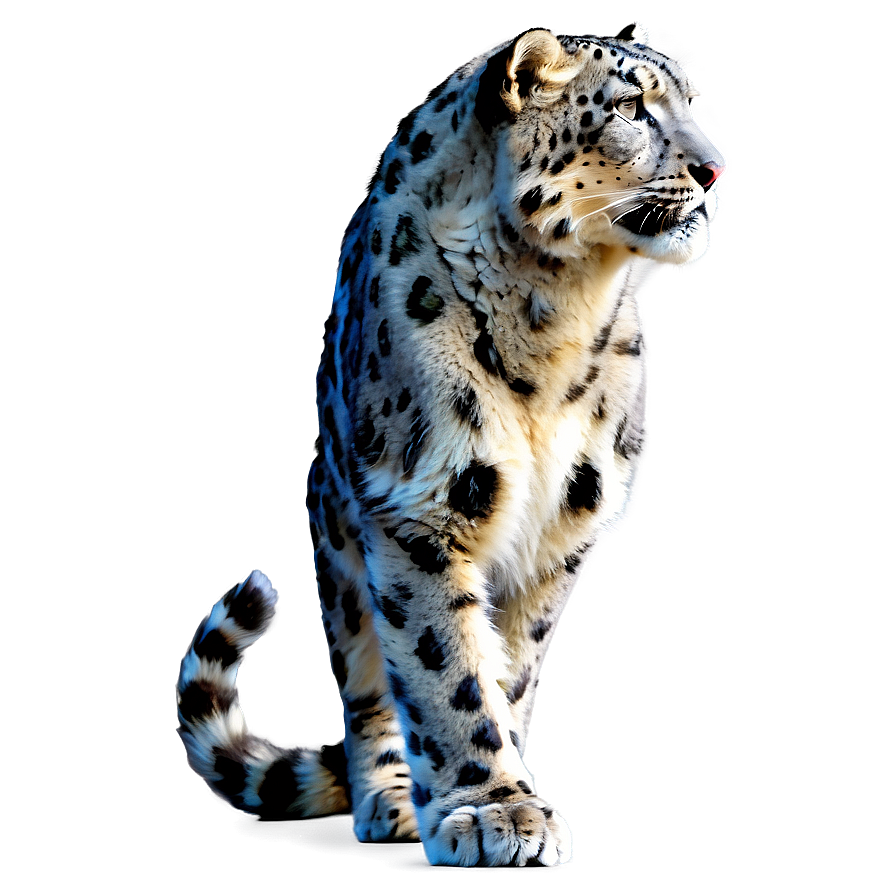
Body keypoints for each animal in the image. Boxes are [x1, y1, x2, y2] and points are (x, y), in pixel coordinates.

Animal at [176, 22, 725, 867]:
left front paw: (512, 789)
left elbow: (509, 665)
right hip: (338, 539)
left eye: (691, 102)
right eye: (631, 107)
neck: (557, 318)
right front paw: (493, 810)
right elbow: (445, 665)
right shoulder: (422, 502)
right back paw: (390, 797)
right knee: (366, 681)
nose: (713, 169)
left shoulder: (559, 527)